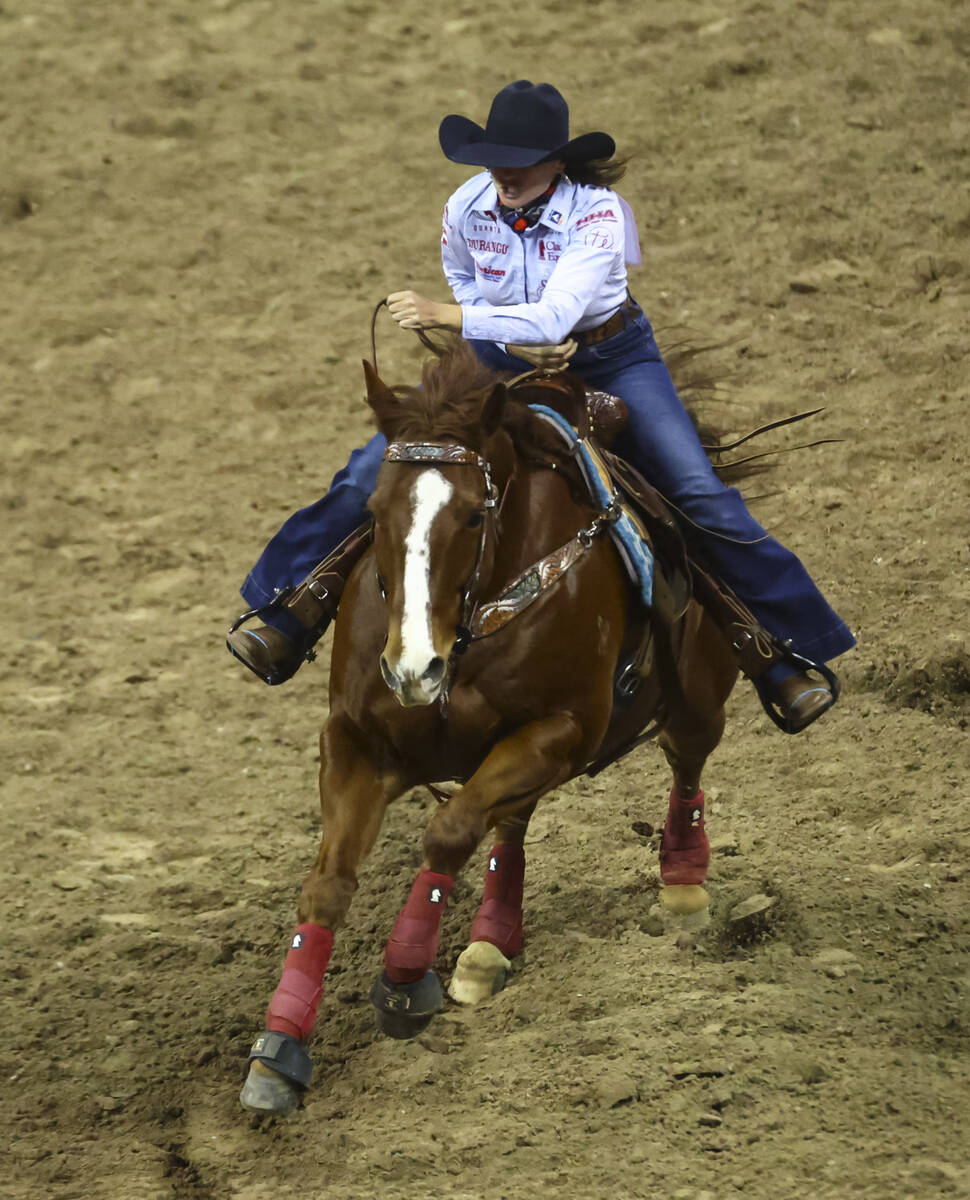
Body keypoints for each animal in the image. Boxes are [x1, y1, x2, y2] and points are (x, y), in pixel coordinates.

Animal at [240, 343, 734, 1108]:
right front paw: (279, 1049)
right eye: (374, 508)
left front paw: (404, 980)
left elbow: (446, 834)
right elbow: (327, 885)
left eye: (475, 516)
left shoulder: (564, 730)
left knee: (685, 764)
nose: (412, 668)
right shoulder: (355, 741)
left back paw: (682, 883)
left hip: (698, 698)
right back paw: (488, 943)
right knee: (510, 825)